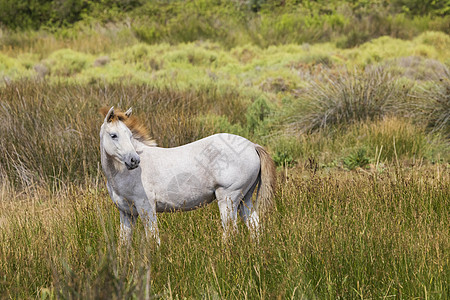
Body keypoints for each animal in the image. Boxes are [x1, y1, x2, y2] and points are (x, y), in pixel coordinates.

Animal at [100, 106, 276, 245]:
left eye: (130, 135)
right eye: (114, 135)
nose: (134, 160)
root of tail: (252, 146)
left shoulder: (146, 208)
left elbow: (153, 239)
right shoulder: (126, 214)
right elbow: (124, 243)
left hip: (228, 199)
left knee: (231, 231)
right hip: (244, 199)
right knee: (254, 226)